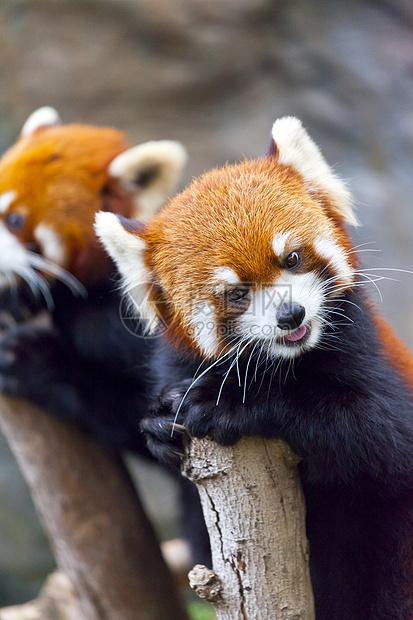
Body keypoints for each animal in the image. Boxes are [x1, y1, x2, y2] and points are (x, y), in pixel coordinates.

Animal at [96, 117, 412, 620]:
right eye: (237, 293)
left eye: (292, 258)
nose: (291, 316)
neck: (280, 362)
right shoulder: (176, 363)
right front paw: (160, 422)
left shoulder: (367, 349)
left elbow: (384, 433)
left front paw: (236, 404)